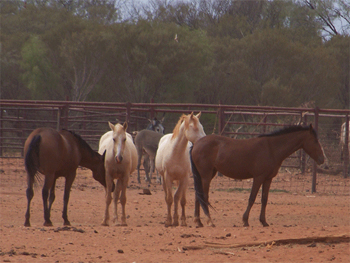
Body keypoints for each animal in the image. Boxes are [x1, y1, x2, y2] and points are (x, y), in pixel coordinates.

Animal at [190, 125, 324, 228]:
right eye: (315, 141)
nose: (322, 159)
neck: (271, 148)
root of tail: (195, 144)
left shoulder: (268, 179)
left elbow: (264, 199)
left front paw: (263, 221)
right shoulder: (258, 178)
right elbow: (252, 198)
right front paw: (245, 220)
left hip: (205, 175)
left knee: (198, 196)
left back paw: (198, 222)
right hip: (206, 176)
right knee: (203, 196)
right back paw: (209, 221)